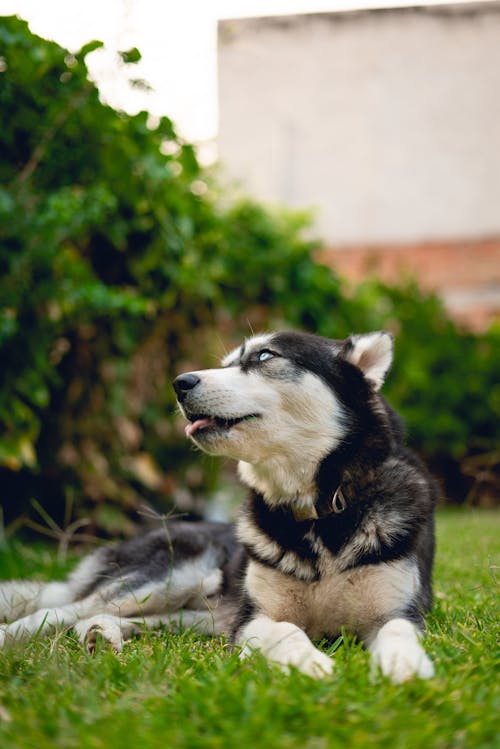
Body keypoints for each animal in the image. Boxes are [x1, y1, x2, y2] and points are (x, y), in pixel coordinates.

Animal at [0, 330, 436, 680]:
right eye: (226, 363)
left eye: (264, 356)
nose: (179, 382)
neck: (318, 514)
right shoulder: (252, 619)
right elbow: (287, 630)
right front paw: (311, 663)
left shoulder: (398, 611)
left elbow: (398, 630)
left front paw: (405, 663)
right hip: (167, 577)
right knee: (58, 611)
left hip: (196, 614)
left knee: (118, 619)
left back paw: (101, 635)